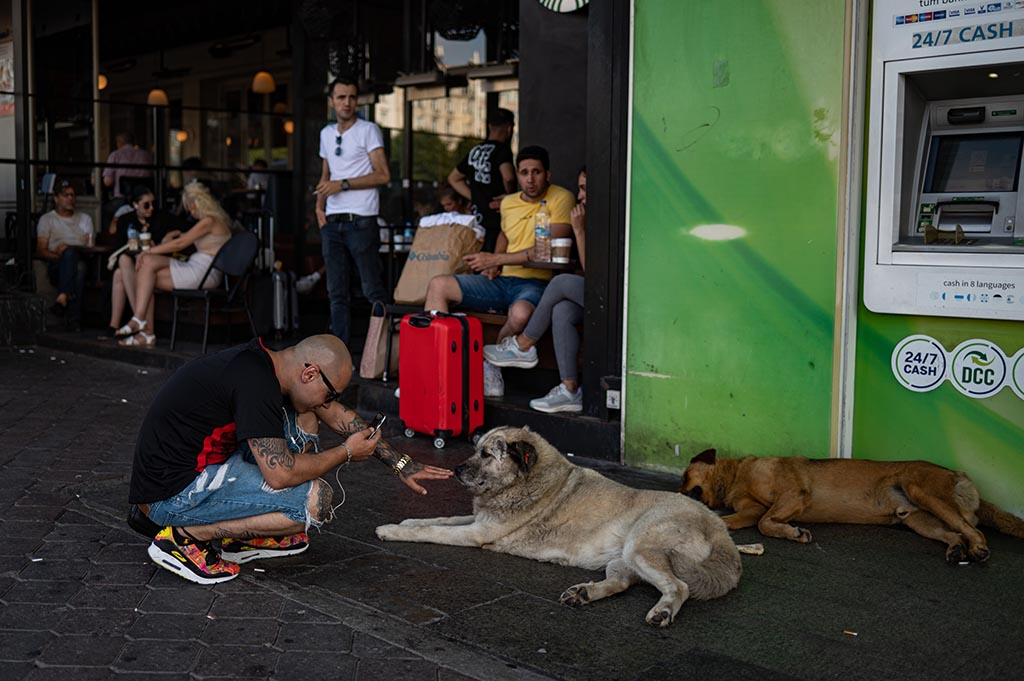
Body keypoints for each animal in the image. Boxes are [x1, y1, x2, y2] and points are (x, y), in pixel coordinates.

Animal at [376, 426, 745, 626]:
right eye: (475, 450)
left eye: (485, 455)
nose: (454, 470)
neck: (524, 482)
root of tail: (720, 530)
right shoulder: (477, 521)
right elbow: (439, 519)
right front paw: (407, 520)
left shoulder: (476, 532)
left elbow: (433, 531)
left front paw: (393, 530)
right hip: (622, 559)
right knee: (622, 583)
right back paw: (584, 593)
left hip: (642, 546)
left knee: (678, 587)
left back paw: (662, 612)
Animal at [679, 446, 1024, 561]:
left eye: (683, 476)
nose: (678, 494)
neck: (737, 474)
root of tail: (958, 474)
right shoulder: (751, 508)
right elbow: (747, 519)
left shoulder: (793, 493)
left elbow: (766, 523)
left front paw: (794, 532)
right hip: (918, 518)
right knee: (953, 532)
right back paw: (955, 549)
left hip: (923, 490)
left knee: (972, 527)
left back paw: (978, 548)